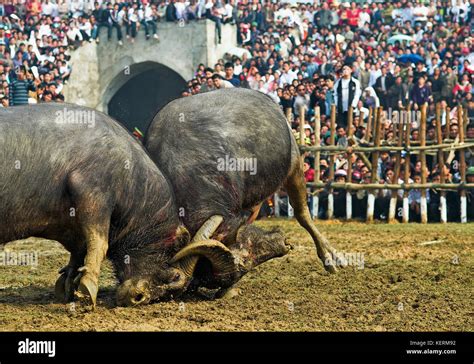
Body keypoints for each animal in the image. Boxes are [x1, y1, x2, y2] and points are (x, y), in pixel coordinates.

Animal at [0, 104, 235, 306]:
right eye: (175, 277)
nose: (137, 297)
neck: (130, 172)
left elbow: (79, 251)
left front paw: (69, 284)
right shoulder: (93, 195)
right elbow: (99, 242)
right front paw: (88, 286)